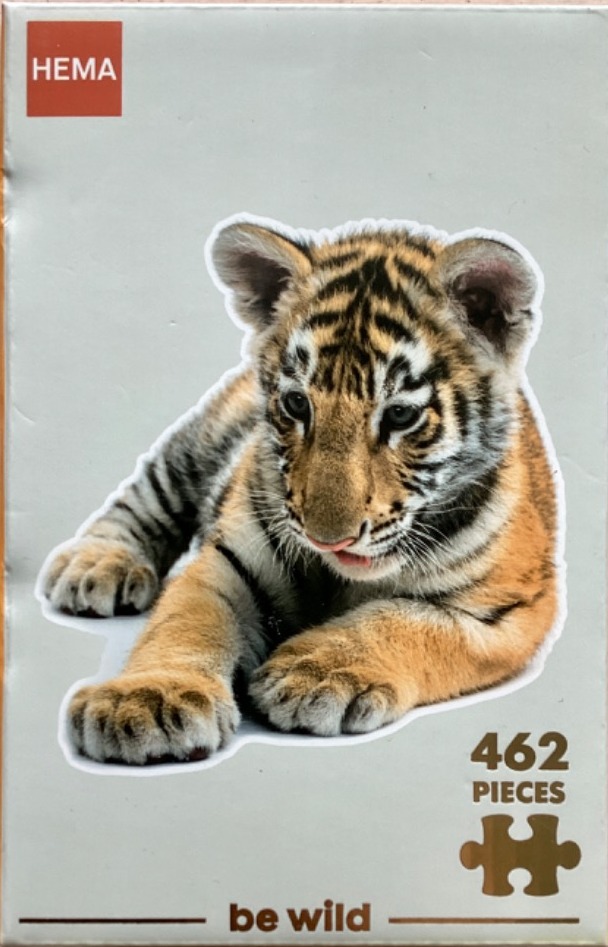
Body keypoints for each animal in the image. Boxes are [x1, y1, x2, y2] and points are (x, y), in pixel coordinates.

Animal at [41, 215, 563, 766]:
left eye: (400, 415)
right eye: (296, 405)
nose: (328, 539)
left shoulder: (510, 610)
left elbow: (404, 619)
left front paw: (316, 673)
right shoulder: (226, 564)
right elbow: (184, 620)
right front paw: (146, 699)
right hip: (202, 440)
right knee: (146, 495)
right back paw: (96, 565)